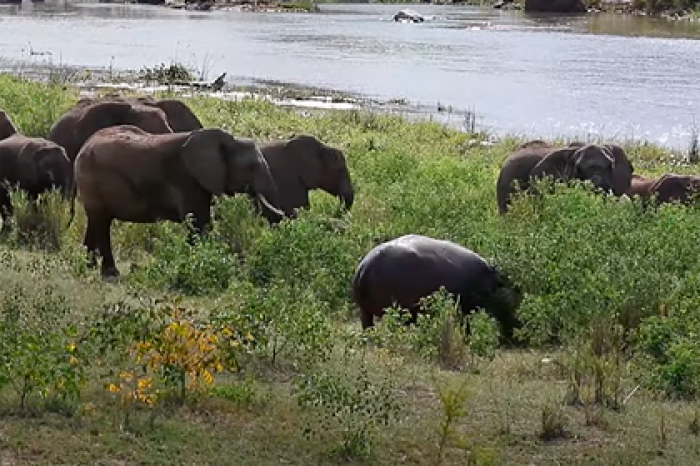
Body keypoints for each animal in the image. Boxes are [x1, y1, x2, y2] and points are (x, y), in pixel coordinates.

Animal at [73, 124, 284, 278]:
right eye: (251, 167)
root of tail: (84, 146)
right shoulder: (186, 179)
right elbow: (199, 222)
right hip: (92, 180)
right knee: (102, 223)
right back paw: (111, 274)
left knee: (96, 220)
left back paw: (87, 266)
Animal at [352, 235, 524, 344]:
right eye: (513, 300)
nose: (520, 331)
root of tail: (364, 267)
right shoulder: (463, 306)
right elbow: (465, 326)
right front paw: (467, 341)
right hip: (394, 308)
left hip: (365, 310)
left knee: (367, 326)